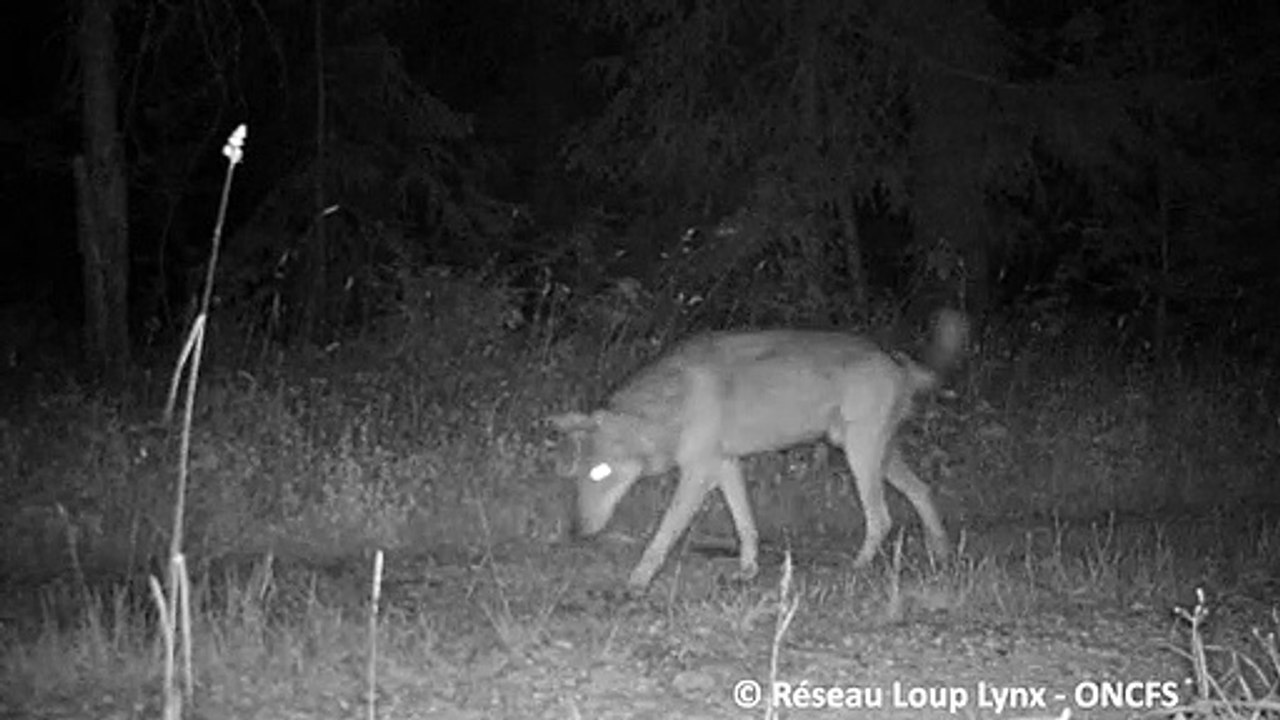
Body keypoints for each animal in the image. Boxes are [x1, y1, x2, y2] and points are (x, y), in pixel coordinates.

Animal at [549, 310, 968, 590]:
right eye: (575, 477)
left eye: (600, 473)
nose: (576, 531)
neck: (671, 405)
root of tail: (897, 360)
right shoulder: (725, 465)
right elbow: (746, 525)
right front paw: (747, 571)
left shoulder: (698, 474)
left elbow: (663, 536)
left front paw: (637, 581)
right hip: (876, 457)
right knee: (922, 492)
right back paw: (942, 554)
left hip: (860, 457)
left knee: (882, 518)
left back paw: (858, 568)